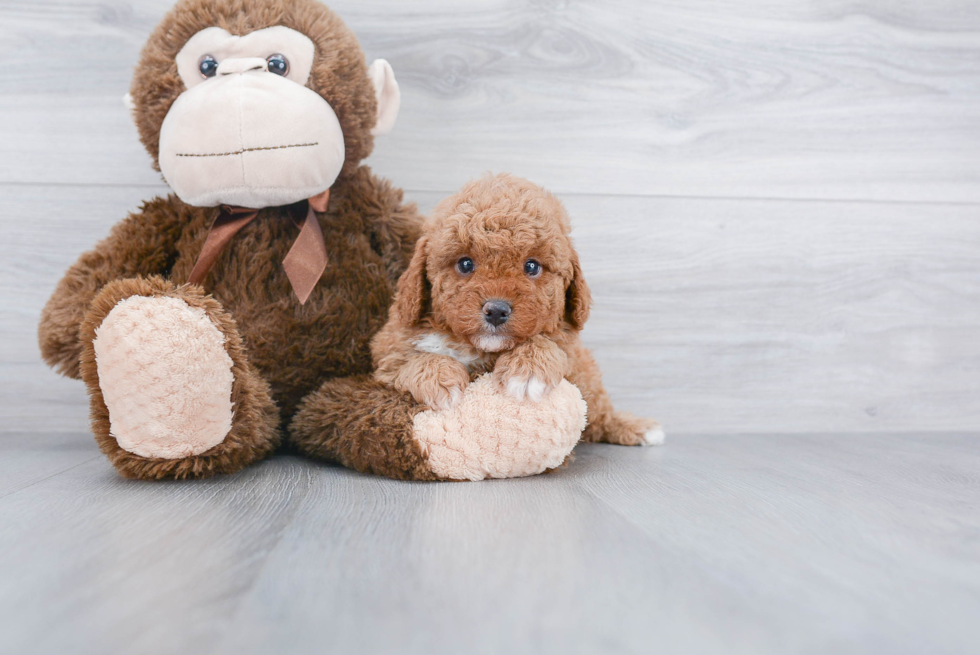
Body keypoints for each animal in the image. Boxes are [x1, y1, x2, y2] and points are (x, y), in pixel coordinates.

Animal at [370, 172, 668, 448]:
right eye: (465, 264)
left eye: (532, 266)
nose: (496, 310)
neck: (477, 348)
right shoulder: (389, 350)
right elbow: (409, 360)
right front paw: (440, 380)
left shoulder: (570, 352)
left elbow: (545, 343)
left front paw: (528, 369)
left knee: (599, 415)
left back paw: (636, 427)